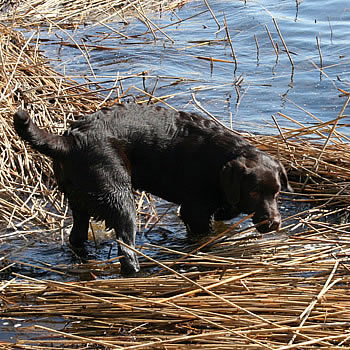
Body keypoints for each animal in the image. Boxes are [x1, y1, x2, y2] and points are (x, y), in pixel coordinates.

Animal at [13, 104, 292, 276]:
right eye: (254, 193)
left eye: (277, 193)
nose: (275, 223)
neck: (220, 160)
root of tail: (70, 141)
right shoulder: (195, 211)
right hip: (120, 200)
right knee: (126, 251)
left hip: (78, 202)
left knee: (77, 236)